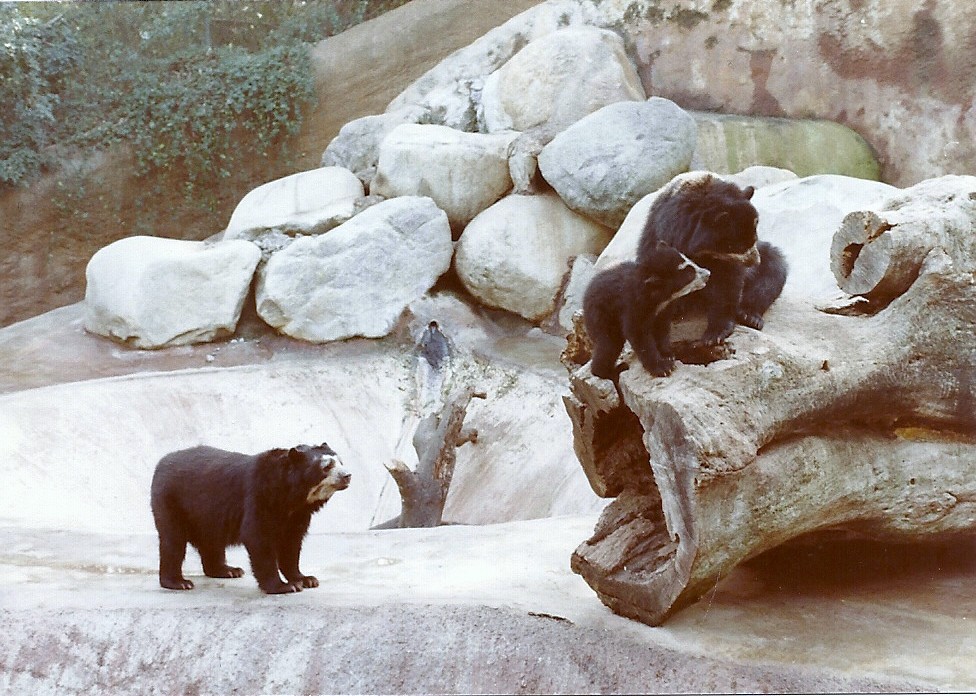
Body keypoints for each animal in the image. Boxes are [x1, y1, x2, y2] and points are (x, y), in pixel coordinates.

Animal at [150, 442, 351, 594]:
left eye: (341, 461)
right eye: (327, 466)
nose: (347, 475)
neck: (291, 497)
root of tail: (160, 462)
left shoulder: (297, 515)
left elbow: (291, 544)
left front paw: (307, 579)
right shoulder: (259, 496)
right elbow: (258, 537)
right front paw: (284, 586)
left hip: (207, 515)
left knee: (211, 542)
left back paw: (228, 571)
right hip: (172, 501)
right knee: (173, 541)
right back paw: (179, 582)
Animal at [583, 243, 710, 379]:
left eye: (690, 261)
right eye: (689, 274)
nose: (708, 274)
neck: (659, 299)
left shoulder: (664, 309)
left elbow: (661, 329)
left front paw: (668, 354)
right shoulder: (633, 304)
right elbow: (637, 332)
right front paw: (663, 368)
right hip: (601, 315)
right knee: (609, 345)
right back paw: (610, 371)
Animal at [636, 172, 788, 347]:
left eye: (754, 238)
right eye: (739, 245)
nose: (756, 261)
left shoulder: (727, 262)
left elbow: (727, 284)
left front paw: (715, 334)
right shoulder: (661, 234)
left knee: (772, 275)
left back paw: (749, 315)